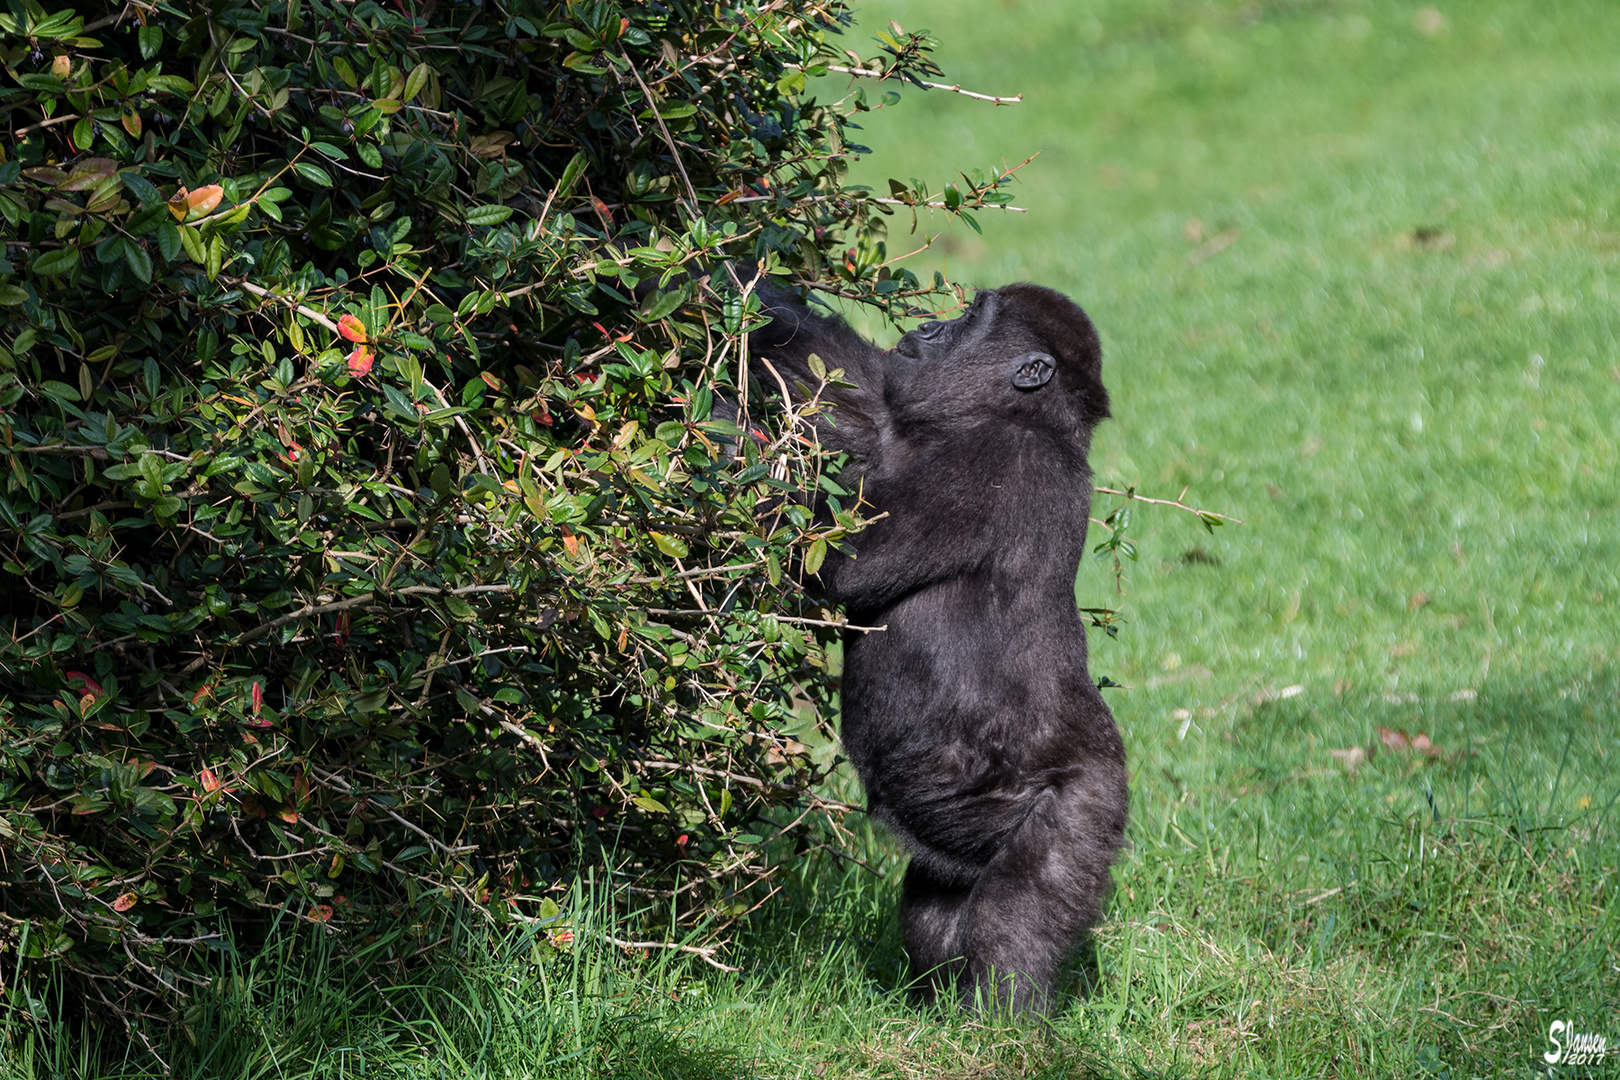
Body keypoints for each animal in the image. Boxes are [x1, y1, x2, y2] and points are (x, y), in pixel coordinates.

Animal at [748, 278, 1121, 1016]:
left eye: (969, 318)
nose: (924, 327)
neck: (1030, 415)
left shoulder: (997, 455)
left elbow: (844, 562)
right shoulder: (901, 413)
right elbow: (821, 367)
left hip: (1091, 802)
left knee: (1018, 914)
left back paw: (1009, 1021)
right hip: (954, 843)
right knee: (935, 911)